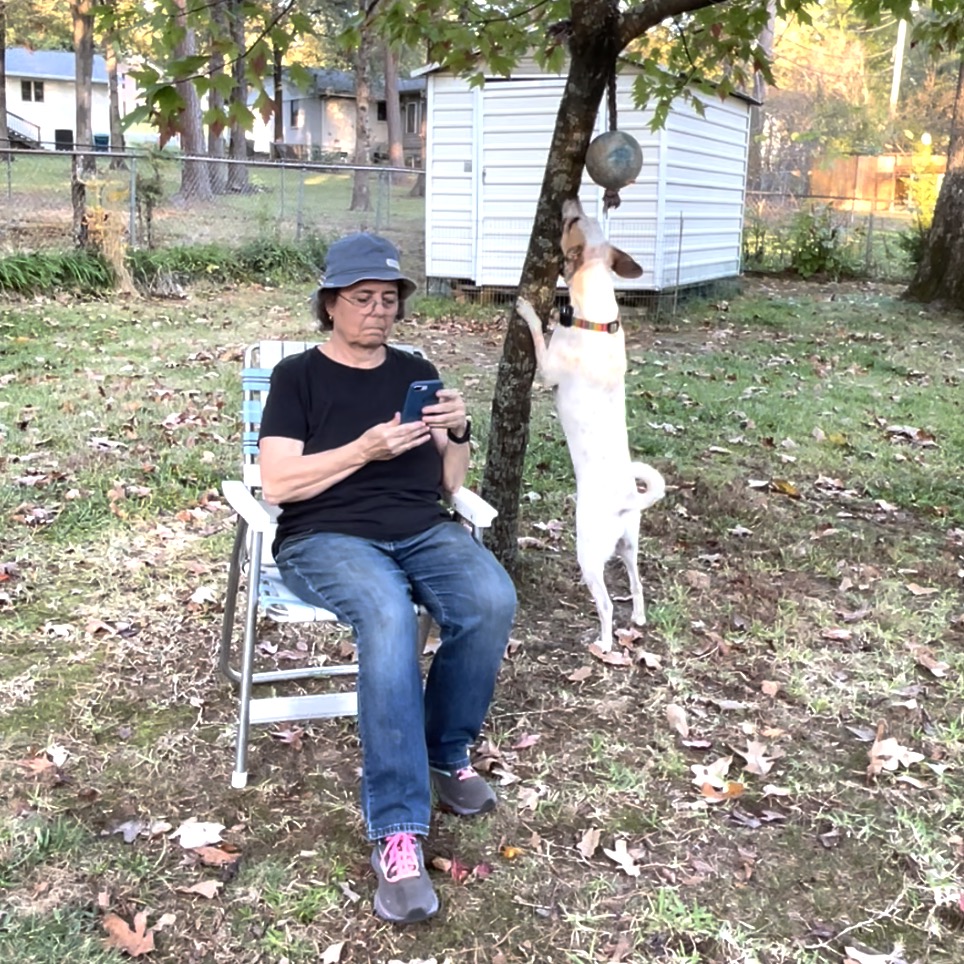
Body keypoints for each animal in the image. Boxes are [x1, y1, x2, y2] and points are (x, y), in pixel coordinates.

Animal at [520, 199, 664, 652]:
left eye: (570, 222)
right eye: (582, 216)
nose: (572, 199)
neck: (597, 315)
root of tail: (626, 500)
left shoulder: (547, 370)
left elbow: (538, 334)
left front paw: (527, 309)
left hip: (588, 553)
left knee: (606, 604)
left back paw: (604, 643)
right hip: (630, 545)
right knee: (636, 583)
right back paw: (639, 617)